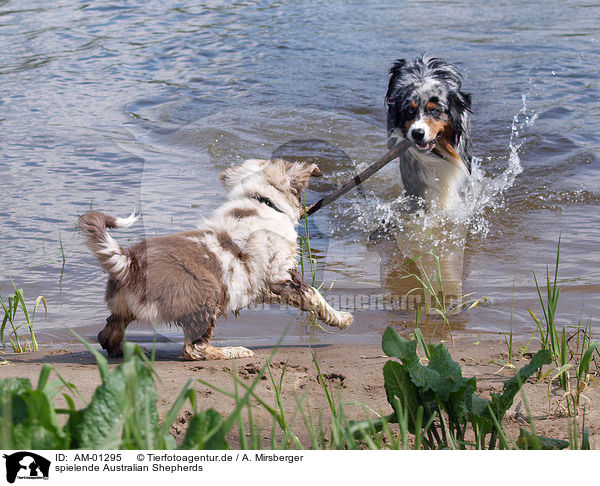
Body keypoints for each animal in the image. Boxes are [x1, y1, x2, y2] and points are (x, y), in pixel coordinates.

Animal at [79, 158, 352, 358]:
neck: (261, 200)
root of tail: (129, 262)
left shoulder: (263, 283)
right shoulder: (283, 273)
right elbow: (314, 295)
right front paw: (342, 318)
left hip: (122, 308)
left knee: (108, 335)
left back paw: (135, 351)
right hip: (206, 296)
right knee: (193, 350)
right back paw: (235, 351)